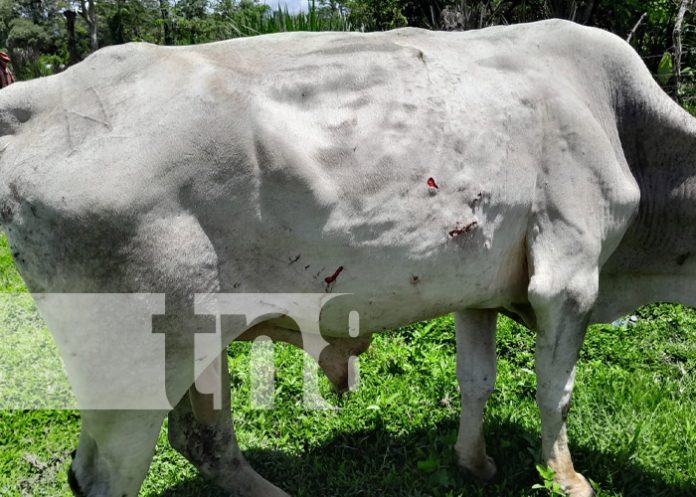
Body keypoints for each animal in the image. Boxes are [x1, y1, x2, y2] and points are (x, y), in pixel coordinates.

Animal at [0, 18, 692, 496]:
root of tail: (40, 96)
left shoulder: (479, 289)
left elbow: (477, 381)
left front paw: (474, 462)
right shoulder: (568, 279)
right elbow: (557, 391)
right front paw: (566, 478)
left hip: (201, 337)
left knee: (204, 441)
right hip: (138, 361)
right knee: (104, 474)